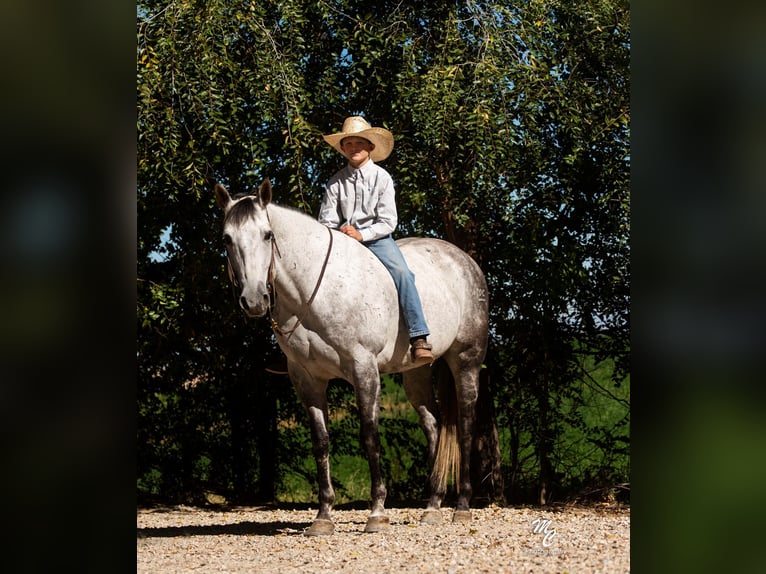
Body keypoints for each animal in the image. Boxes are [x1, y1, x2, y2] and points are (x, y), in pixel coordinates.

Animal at [216, 182, 488, 536]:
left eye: (267, 234)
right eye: (227, 238)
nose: (253, 300)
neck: (316, 292)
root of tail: (464, 260)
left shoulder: (364, 369)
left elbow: (370, 436)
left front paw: (377, 513)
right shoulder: (306, 379)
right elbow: (321, 442)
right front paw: (323, 517)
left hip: (466, 360)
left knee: (466, 426)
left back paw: (463, 507)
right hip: (416, 374)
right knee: (434, 427)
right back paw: (432, 507)